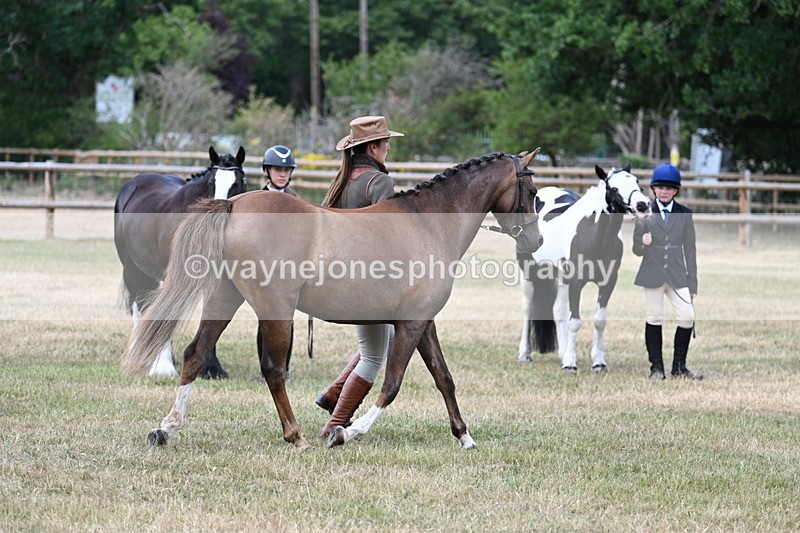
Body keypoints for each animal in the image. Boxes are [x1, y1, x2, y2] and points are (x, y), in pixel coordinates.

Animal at [114, 145, 247, 379]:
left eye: (237, 183)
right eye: (211, 184)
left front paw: (211, 368)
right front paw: (163, 367)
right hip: (132, 268)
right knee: (139, 306)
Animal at [517, 164, 651, 373]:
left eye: (637, 182)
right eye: (613, 188)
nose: (642, 205)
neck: (593, 234)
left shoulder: (608, 282)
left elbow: (599, 321)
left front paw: (598, 362)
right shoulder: (576, 282)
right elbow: (575, 321)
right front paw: (570, 364)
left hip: (560, 276)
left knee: (558, 310)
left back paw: (562, 352)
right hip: (528, 272)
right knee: (527, 308)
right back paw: (525, 354)